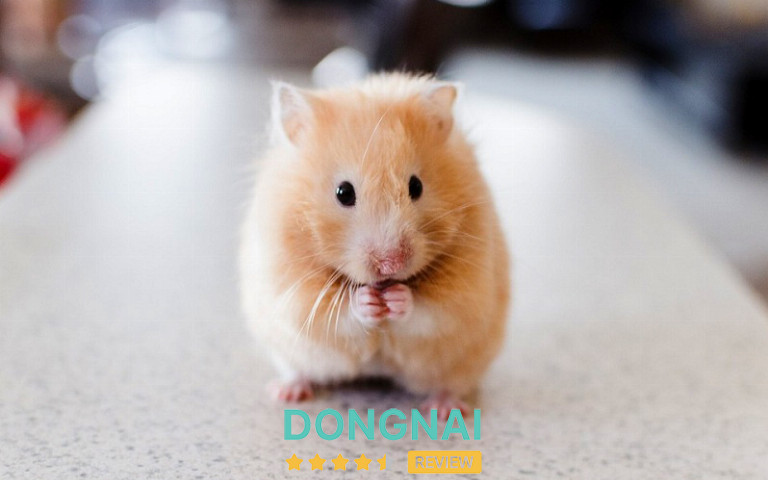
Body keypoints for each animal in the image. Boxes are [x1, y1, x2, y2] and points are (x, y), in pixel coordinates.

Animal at [239, 73, 510, 418]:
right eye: (343, 192)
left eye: (416, 186)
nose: (390, 264)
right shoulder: (292, 291)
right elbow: (337, 313)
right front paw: (368, 301)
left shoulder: (466, 293)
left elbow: (430, 311)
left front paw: (397, 298)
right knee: (298, 370)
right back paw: (286, 393)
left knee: (451, 384)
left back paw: (443, 409)